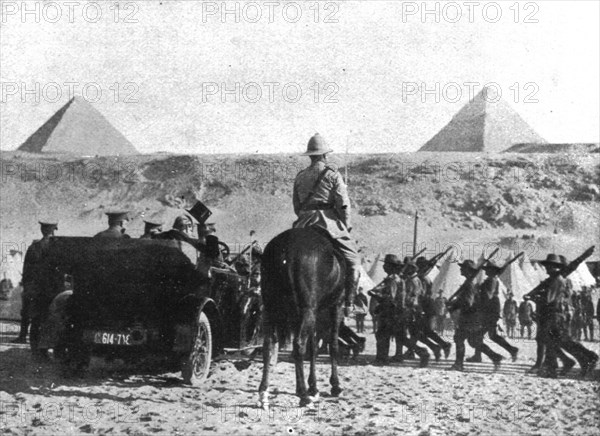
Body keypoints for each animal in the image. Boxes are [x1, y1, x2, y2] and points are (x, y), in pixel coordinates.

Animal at [258, 227, 346, 408]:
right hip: (307, 310)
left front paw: (314, 387)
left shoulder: (315, 312)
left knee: (268, 345)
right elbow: (332, 344)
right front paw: (335, 386)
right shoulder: (336, 306)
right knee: (298, 345)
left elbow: (313, 348)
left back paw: (264, 393)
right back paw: (303, 395)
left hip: (271, 309)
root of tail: (286, 249)